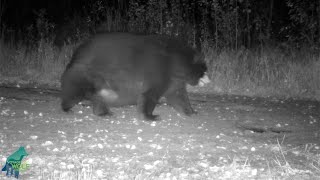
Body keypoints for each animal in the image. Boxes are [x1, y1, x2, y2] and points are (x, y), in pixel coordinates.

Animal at [61, 33, 209, 120]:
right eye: (205, 69)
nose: (209, 80)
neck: (176, 63)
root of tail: (74, 55)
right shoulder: (160, 71)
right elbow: (151, 93)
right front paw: (150, 116)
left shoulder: (174, 80)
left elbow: (178, 96)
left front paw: (192, 111)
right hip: (85, 74)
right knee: (74, 92)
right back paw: (67, 108)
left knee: (97, 97)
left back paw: (104, 113)